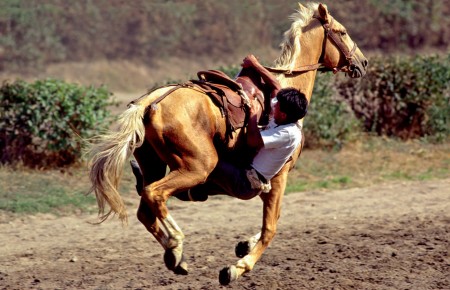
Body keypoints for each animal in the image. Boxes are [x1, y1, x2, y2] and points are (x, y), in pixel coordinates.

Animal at [88, 2, 370, 286]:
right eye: (342, 32)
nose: (363, 62)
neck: (284, 87)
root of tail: (151, 102)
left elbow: (273, 219)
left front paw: (245, 245)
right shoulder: (278, 177)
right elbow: (271, 227)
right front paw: (238, 267)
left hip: (154, 164)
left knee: (145, 209)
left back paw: (175, 255)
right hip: (197, 167)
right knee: (154, 194)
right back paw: (177, 243)